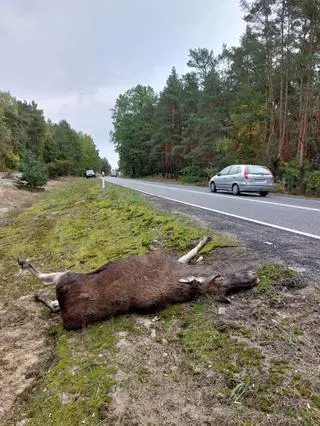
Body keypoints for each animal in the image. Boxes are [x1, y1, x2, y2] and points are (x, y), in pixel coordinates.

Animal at [16, 238, 258, 332]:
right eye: (219, 276)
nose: (254, 276)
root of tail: (66, 314)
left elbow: (188, 253)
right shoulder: (170, 259)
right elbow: (190, 253)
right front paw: (206, 240)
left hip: (66, 278)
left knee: (48, 289)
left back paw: (32, 280)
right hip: (67, 278)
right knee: (49, 291)